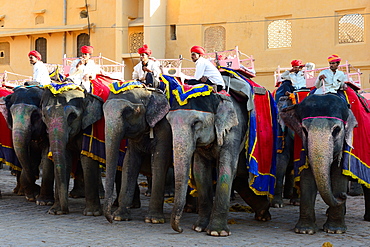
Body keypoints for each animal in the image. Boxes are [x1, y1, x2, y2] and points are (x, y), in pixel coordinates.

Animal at [41, 82, 103, 214]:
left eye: (72, 116)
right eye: (44, 115)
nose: (66, 211)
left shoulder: (89, 129)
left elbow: (87, 158)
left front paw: (92, 213)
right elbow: (65, 158)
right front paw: (55, 211)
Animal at [103, 82, 173, 224]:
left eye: (128, 112)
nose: (110, 219)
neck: (149, 91)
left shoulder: (165, 128)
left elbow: (159, 162)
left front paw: (154, 220)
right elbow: (129, 163)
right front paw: (120, 217)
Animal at [166, 74, 276, 236]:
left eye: (196, 123)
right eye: (169, 121)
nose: (180, 229)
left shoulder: (234, 129)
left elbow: (226, 169)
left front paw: (217, 232)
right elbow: (200, 172)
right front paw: (199, 228)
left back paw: (265, 214)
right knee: (241, 179)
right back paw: (263, 212)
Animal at [280, 93, 370, 234]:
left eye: (336, 130)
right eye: (304, 130)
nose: (343, 195)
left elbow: (339, 175)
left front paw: (335, 230)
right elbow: (307, 176)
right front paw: (305, 230)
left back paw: (367, 218)